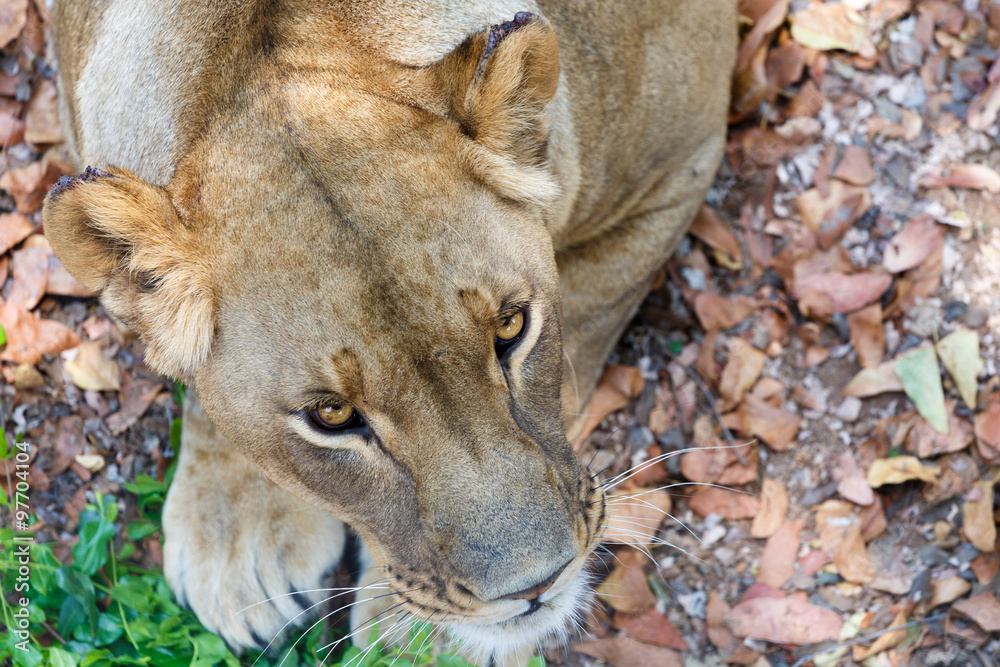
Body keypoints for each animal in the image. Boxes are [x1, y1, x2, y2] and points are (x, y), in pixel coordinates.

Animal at [42, 1, 736, 664]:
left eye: (511, 327)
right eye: (331, 415)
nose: (537, 586)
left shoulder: (680, 163)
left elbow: (579, 349)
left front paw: (425, 639)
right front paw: (241, 538)